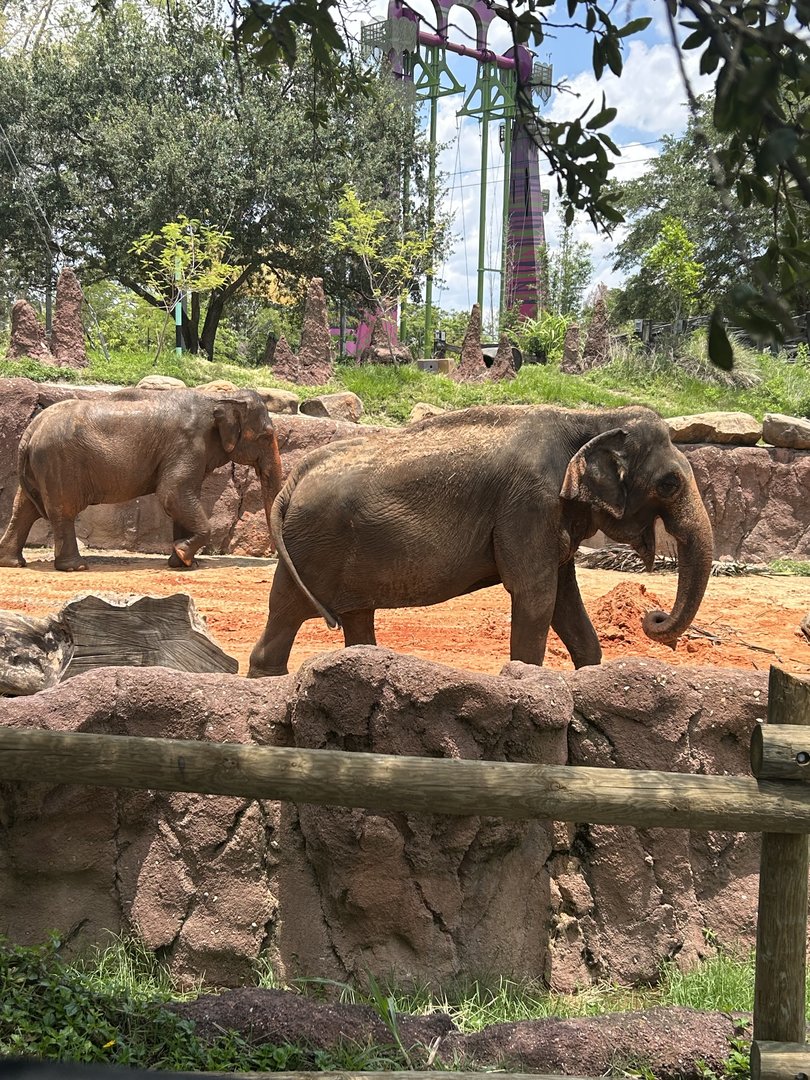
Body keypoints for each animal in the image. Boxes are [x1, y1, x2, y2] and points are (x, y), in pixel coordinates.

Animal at [0, 388, 283, 572]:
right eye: (266, 436)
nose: (274, 558)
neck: (218, 398)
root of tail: (31, 429)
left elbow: (181, 498)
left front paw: (184, 563)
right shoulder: (188, 443)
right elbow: (173, 494)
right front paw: (183, 554)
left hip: (41, 467)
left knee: (23, 508)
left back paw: (13, 563)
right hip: (59, 464)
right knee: (62, 511)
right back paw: (75, 567)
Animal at [247, 404, 714, 676]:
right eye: (669, 484)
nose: (653, 616)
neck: (592, 419)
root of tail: (295, 478)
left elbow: (564, 598)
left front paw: (589, 674)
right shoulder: (529, 504)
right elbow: (536, 594)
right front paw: (527, 678)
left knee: (352, 616)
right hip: (312, 545)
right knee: (287, 614)